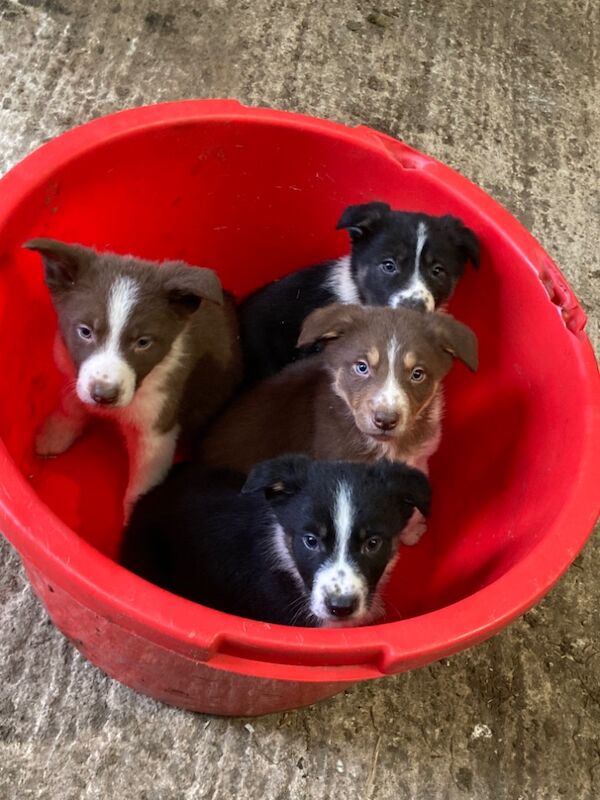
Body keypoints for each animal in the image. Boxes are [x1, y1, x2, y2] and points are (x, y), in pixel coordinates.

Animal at [25, 238, 241, 512]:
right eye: (85, 331)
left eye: (143, 342)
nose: (103, 395)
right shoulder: (71, 370)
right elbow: (71, 405)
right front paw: (55, 434)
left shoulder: (156, 430)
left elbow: (141, 488)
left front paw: (134, 518)